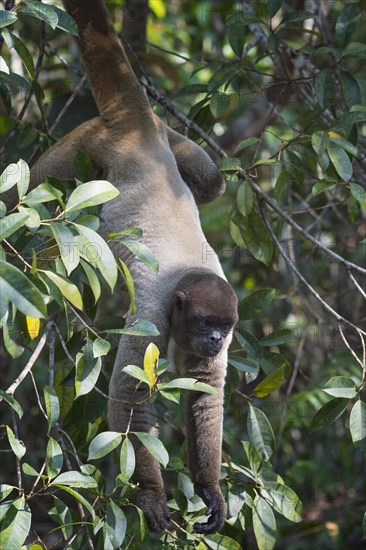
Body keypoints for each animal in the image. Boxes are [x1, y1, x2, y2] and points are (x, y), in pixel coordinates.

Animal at [18, 0, 239, 536]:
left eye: (223, 328)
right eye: (204, 322)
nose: (214, 340)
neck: (186, 278)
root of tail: (135, 124)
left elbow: (206, 395)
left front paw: (210, 490)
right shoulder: (154, 314)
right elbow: (128, 394)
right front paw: (153, 496)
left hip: (166, 135)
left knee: (213, 183)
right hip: (88, 143)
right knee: (33, 193)